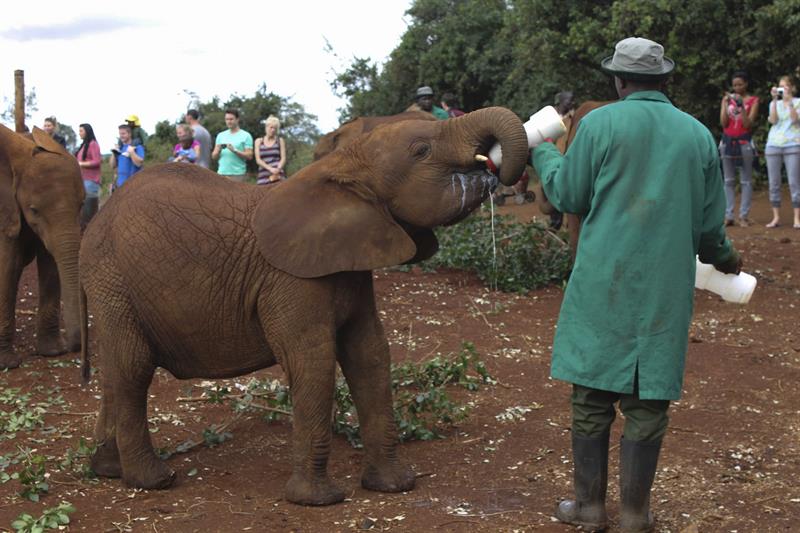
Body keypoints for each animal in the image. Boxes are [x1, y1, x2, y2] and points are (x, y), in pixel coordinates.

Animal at [0, 124, 85, 370]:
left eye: (82, 205)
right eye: (34, 210)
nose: (73, 346)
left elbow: (50, 263)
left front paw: (52, 352)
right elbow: (7, 266)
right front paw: (7, 363)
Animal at [79, 106, 528, 505]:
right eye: (421, 150)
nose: (494, 166)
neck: (342, 168)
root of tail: (94, 225)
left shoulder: (351, 265)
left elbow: (370, 355)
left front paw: (395, 486)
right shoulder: (291, 279)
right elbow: (313, 361)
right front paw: (318, 501)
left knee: (116, 369)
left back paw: (108, 471)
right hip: (113, 279)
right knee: (133, 366)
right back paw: (154, 480)